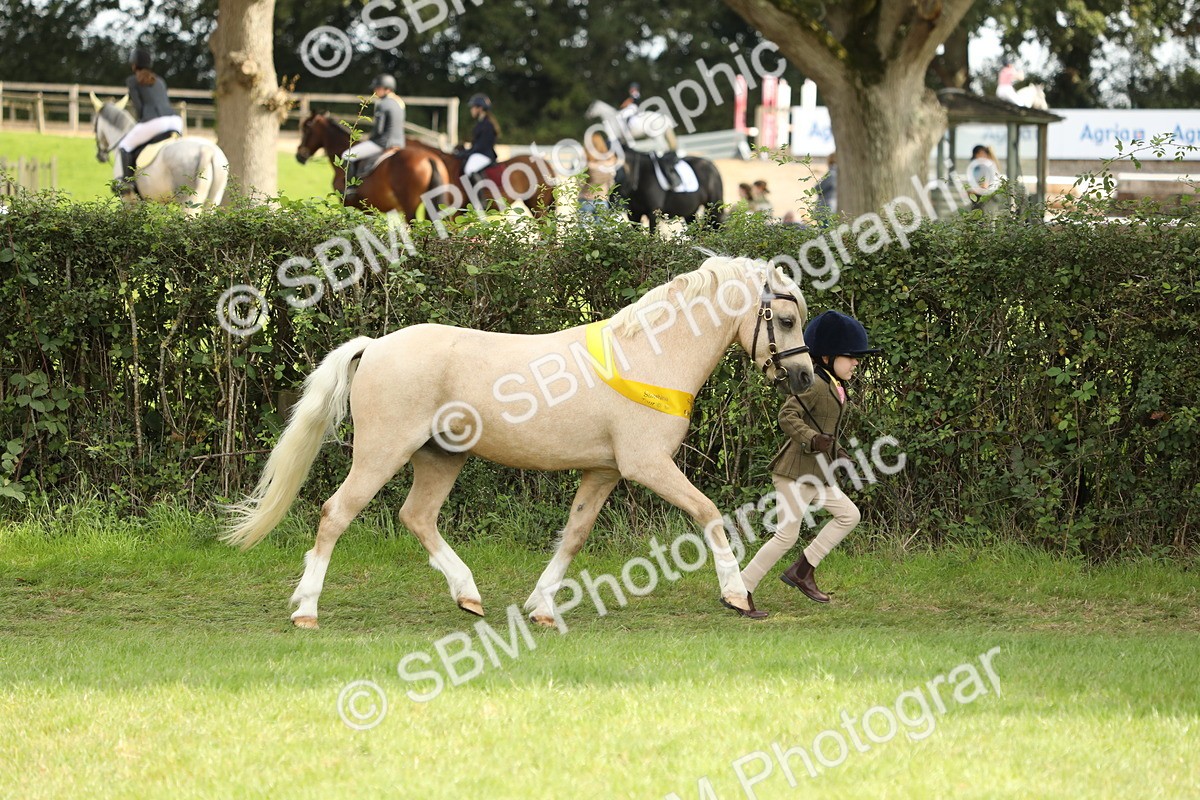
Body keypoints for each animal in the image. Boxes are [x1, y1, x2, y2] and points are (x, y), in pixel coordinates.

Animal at [91, 94, 228, 215]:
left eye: (94, 125)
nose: (100, 156)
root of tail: (207, 150)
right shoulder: (158, 202)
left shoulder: (128, 201)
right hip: (213, 200)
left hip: (189, 201)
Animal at [222, 254, 815, 628]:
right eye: (785, 318)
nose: (807, 377)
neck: (650, 356)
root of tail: (376, 345)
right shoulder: (646, 465)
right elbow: (709, 512)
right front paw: (737, 595)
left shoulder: (603, 471)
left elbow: (573, 536)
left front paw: (541, 607)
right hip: (380, 454)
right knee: (335, 514)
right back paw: (306, 609)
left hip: (441, 457)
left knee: (417, 516)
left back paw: (468, 595)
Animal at [295, 112, 449, 220]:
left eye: (306, 129)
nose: (299, 155)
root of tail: (429, 158)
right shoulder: (369, 209)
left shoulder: (345, 204)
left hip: (409, 206)